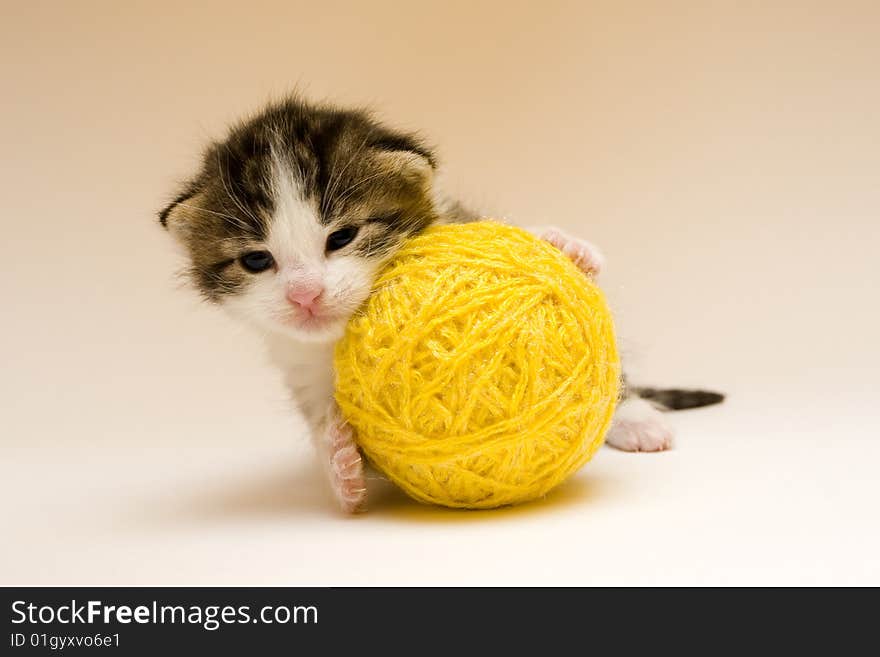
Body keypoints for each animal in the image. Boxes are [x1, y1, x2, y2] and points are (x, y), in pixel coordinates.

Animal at [160, 97, 720, 512]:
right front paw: (339, 466)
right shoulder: (300, 369)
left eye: (341, 237)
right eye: (257, 260)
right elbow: (323, 423)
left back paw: (638, 421)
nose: (305, 294)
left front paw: (564, 244)